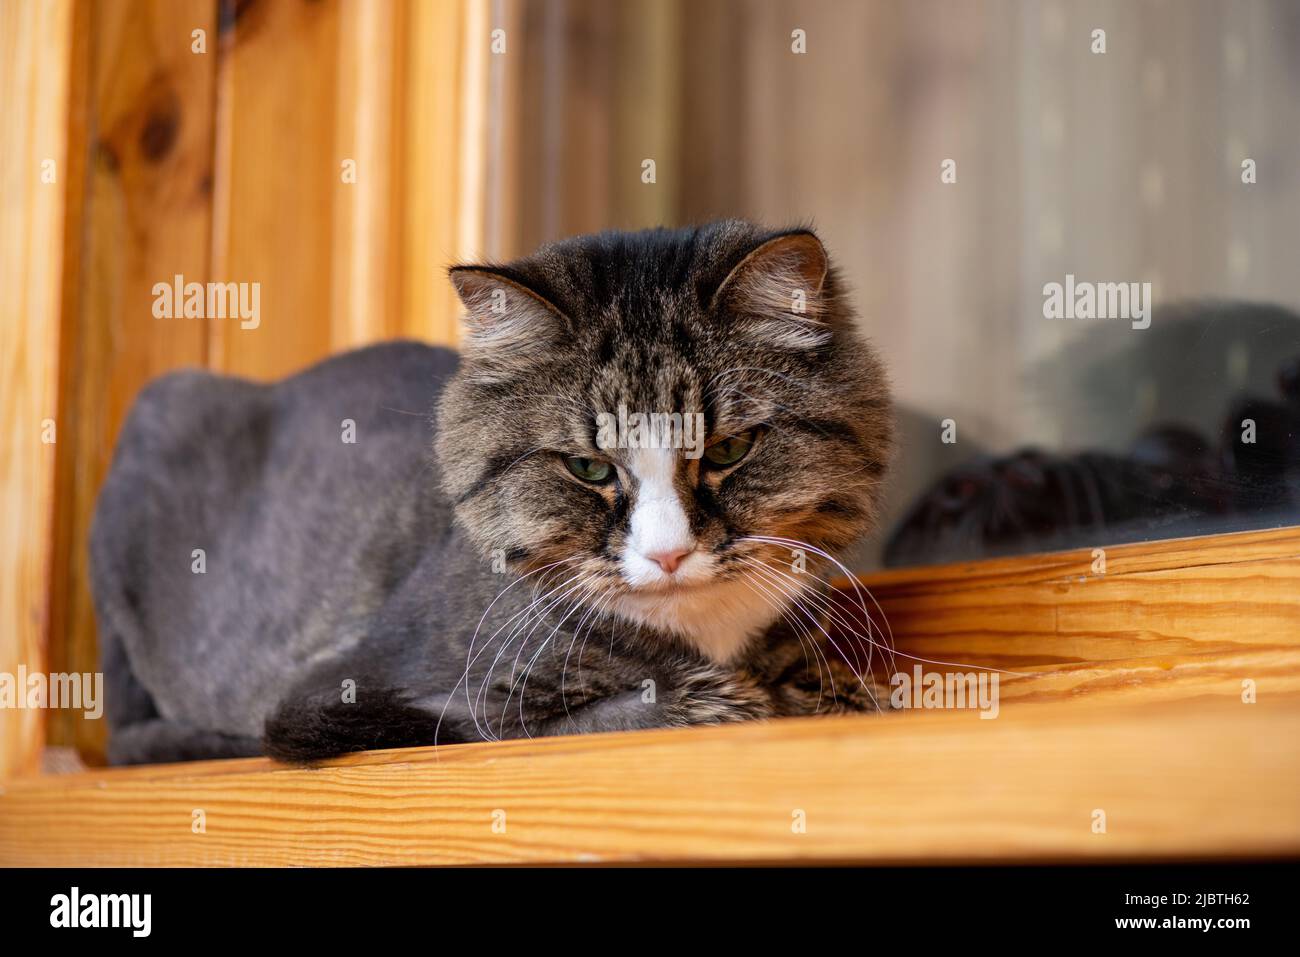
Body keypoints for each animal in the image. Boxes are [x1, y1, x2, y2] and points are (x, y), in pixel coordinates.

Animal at [91, 221, 894, 764]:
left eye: (728, 449)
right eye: (589, 468)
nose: (668, 554)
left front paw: (837, 689)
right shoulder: (350, 695)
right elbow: (568, 714)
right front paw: (732, 698)